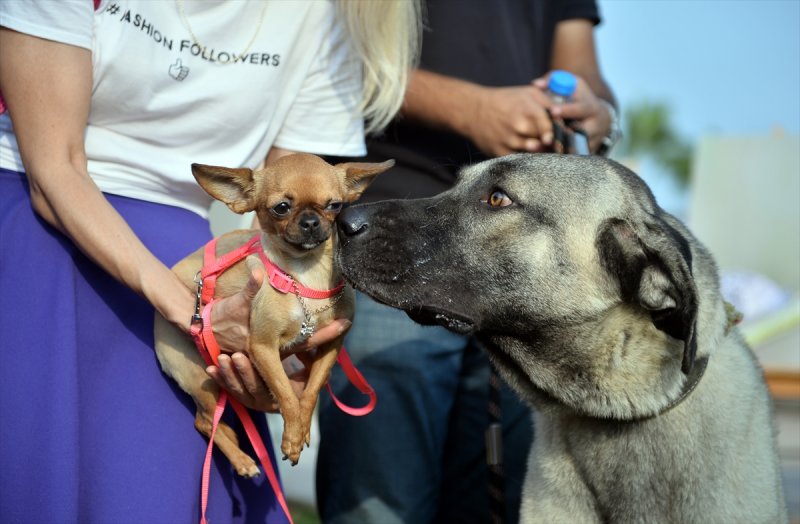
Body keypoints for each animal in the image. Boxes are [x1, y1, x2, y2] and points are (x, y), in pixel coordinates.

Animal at [154, 152, 390, 474]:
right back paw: (242, 461)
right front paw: (291, 438)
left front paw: (301, 427)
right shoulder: (262, 347)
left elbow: (311, 391)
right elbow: (287, 394)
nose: (311, 221)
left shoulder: (331, 345)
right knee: (203, 421)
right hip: (198, 374)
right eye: (281, 208)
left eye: (335, 205)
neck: (305, 277)